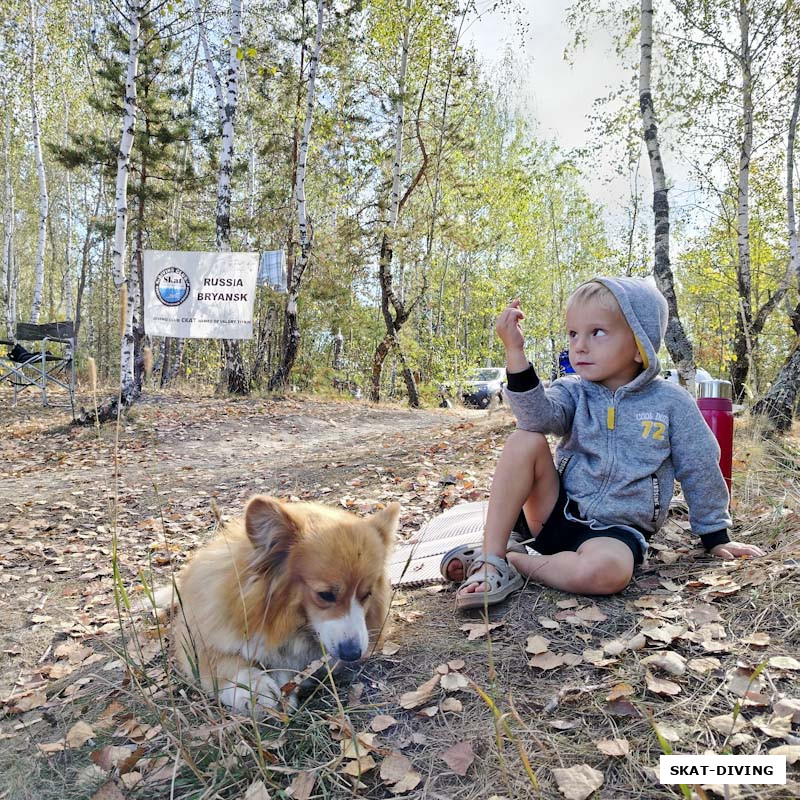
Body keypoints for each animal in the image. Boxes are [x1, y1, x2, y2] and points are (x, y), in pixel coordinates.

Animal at [174, 494, 400, 712]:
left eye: (367, 594)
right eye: (325, 595)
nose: (353, 654)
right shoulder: (197, 638)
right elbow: (221, 662)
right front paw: (254, 690)